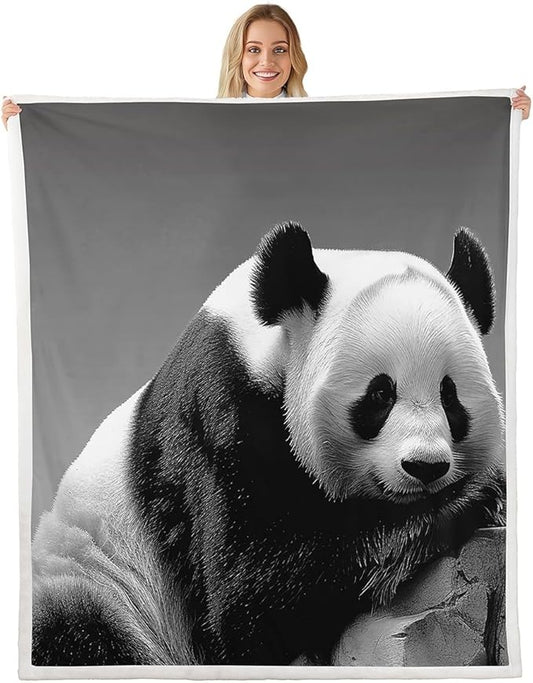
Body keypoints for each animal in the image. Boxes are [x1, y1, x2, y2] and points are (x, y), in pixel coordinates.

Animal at [31, 221, 505, 667]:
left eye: (450, 395)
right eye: (380, 394)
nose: (425, 467)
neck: (268, 342)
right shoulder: (217, 419)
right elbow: (248, 598)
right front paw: (475, 495)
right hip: (99, 578)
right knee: (76, 631)